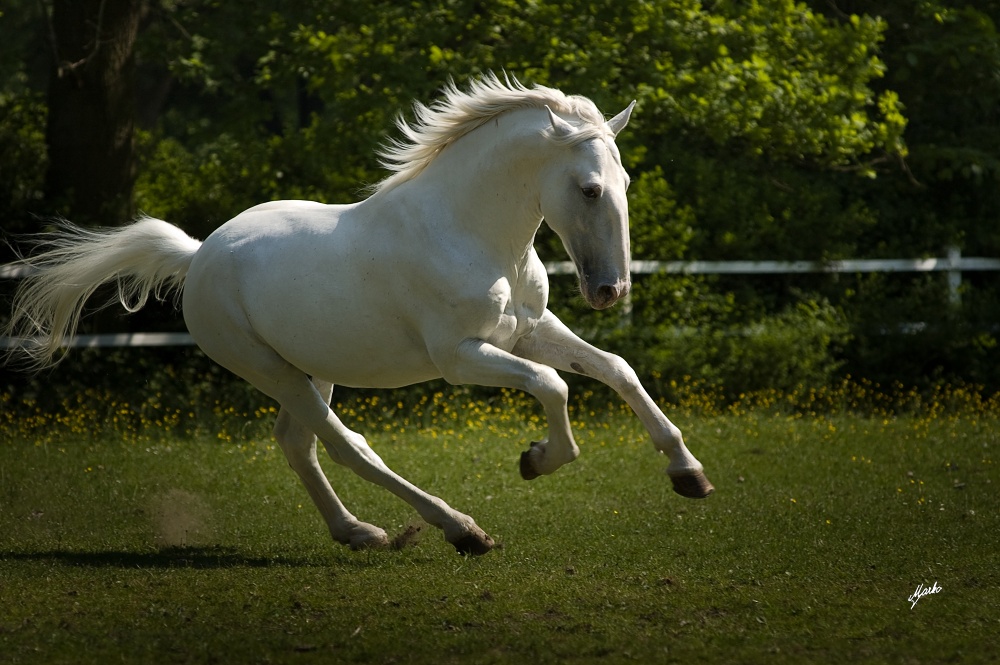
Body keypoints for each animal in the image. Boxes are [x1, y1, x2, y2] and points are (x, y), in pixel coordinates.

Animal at [5, 74, 712, 556]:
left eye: (625, 185)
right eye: (590, 189)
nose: (611, 290)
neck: (473, 234)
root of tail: (199, 253)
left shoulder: (529, 331)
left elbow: (615, 369)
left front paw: (688, 475)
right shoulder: (461, 358)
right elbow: (555, 386)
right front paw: (537, 460)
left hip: (312, 368)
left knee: (299, 444)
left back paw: (358, 533)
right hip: (269, 369)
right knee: (347, 445)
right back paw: (460, 530)